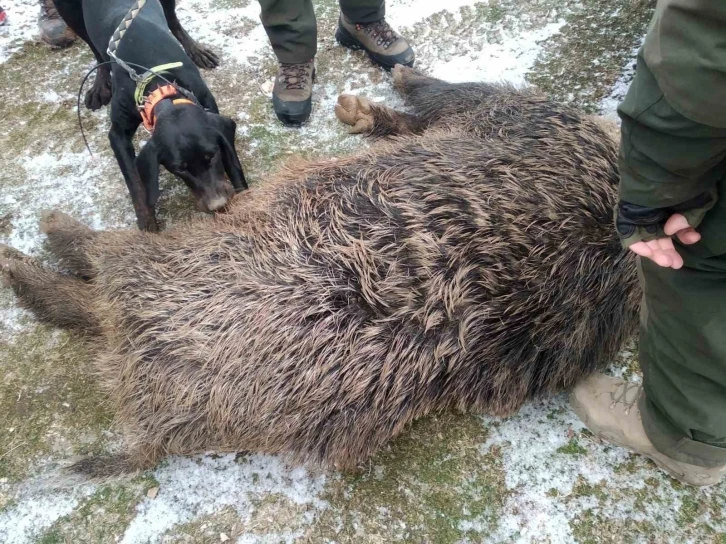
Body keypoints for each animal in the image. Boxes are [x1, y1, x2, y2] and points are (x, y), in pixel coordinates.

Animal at [53, 0, 247, 231]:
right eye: (179, 169)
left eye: (211, 156)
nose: (217, 205)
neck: (159, 88)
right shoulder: (118, 134)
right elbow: (135, 184)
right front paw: (147, 222)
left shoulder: (209, 108)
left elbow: (231, 159)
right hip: (68, 11)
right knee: (96, 51)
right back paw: (100, 84)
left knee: (172, 20)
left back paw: (195, 49)